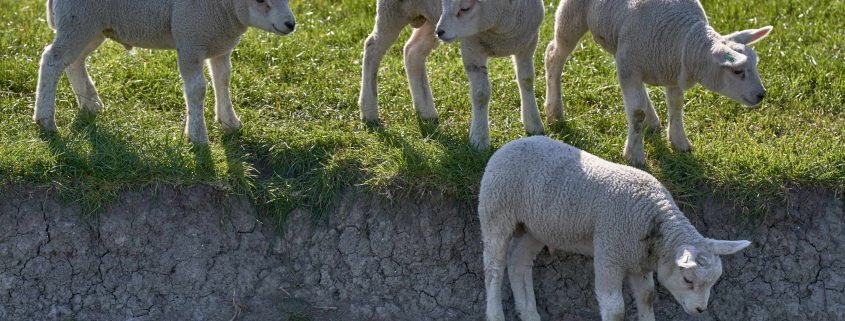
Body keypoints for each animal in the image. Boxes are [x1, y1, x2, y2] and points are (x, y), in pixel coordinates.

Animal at [33, 0, 296, 143]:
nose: (290, 24)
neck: (225, 8)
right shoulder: (190, 41)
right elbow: (197, 89)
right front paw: (197, 136)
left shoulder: (219, 45)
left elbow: (223, 80)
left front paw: (230, 122)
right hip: (79, 21)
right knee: (52, 61)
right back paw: (45, 120)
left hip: (92, 28)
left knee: (74, 62)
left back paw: (90, 104)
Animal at [358, 0, 544, 149]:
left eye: (465, 8)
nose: (440, 32)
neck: (501, 28)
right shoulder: (471, 47)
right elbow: (481, 93)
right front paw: (479, 140)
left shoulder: (529, 43)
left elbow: (527, 80)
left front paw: (534, 125)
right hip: (393, 10)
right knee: (372, 47)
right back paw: (369, 111)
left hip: (430, 19)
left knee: (412, 51)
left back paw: (426, 112)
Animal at [478, 135, 748, 320]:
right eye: (688, 279)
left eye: (713, 281)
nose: (701, 309)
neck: (654, 217)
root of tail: (510, 144)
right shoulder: (610, 252)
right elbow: (615, 309)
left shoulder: (638, 260)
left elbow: (647, 296)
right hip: (496, 210)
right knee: (493, 268)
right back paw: (495, 314)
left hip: (535, 227)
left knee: (518, 263)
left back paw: (529, 313)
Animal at [540, 0, 772, 165]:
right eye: (738, 71)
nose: (761, 95)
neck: (682, 40)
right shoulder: (631, 67)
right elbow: (636, 113)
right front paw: (634, 155)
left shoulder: (672, 70)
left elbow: (676, 105)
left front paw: (679, 141)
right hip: (573, 16)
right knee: (553, 55)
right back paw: (554, 110)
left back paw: (652, 120)